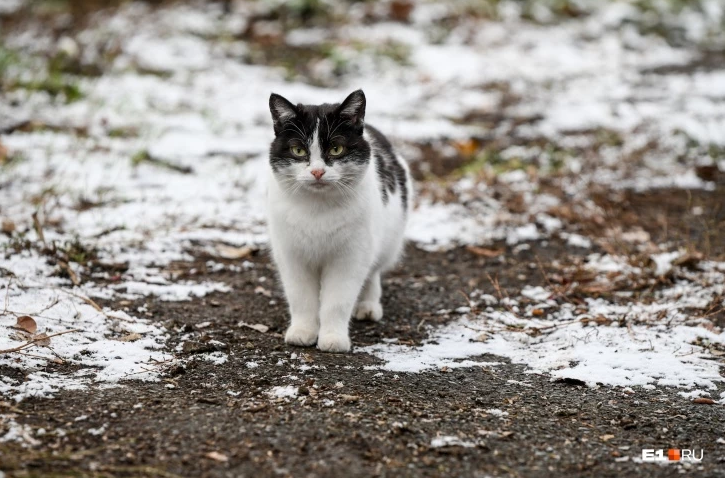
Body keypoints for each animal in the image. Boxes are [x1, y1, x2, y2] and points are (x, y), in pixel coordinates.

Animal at [268, 88, 412, 352]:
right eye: (298, 151)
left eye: (336, 149)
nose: (317, 172)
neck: (317, 210)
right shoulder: (292, 256)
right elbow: (301, 297)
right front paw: (303, 332)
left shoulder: (350, 257)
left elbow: (337, 301)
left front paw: (333, 338)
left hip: (386, 242)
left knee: (373, 272)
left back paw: (368, 307)